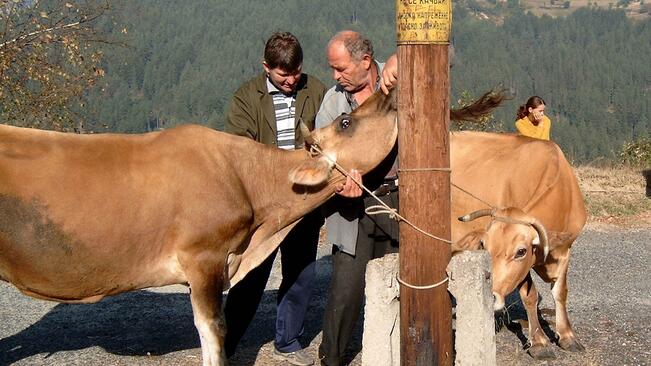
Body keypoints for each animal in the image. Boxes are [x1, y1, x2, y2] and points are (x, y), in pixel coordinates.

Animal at [450, 131, 588, 358]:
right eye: (484, 247)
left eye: (521, 251)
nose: (490, 295)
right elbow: (529, 295)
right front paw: (540, 342)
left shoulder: (566, 249)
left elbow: (560, 292)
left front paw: (568, 336)